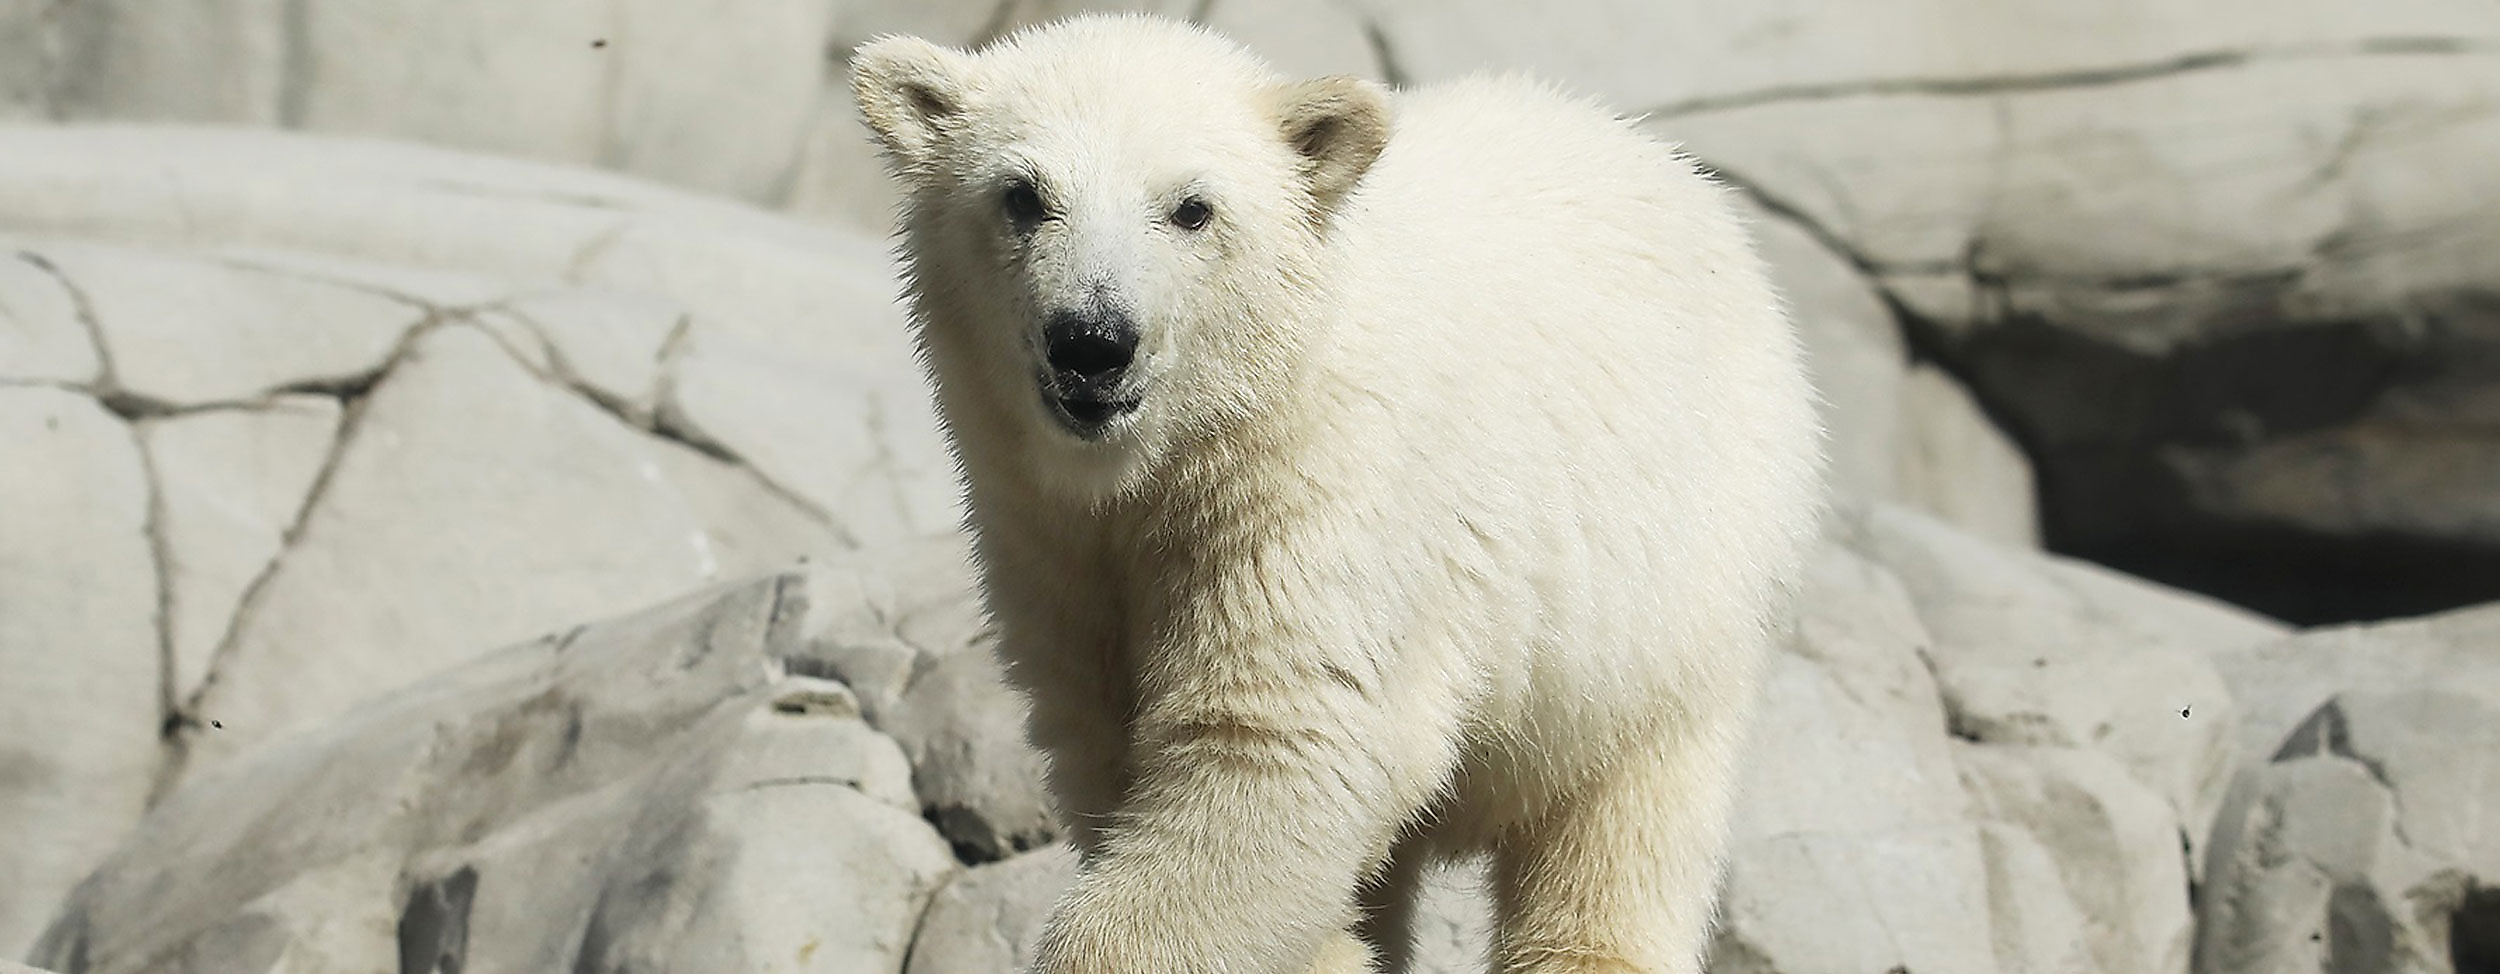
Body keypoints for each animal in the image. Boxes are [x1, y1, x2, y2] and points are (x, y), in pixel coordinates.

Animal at [850, 15, 1824, 974]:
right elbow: (1116, 746)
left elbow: (1282, 744)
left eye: (1192, 208)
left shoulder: (1328, 498)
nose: (1092, 341)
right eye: (1023, 194)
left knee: (1618, 825)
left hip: (1665, 604)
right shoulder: (1050, 541)